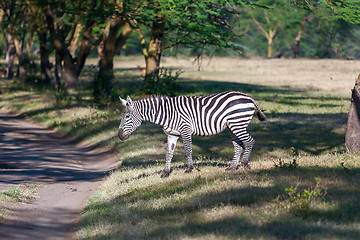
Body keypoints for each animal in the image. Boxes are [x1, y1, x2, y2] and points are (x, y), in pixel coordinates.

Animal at [117, 91, 264, 177]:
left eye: (127, 116)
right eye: (122, 116)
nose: (119, 136)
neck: (166, 113)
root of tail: (248, 97)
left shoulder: (185, 129)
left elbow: (188, 150)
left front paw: (189, 169)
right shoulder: (172, 134)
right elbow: (168, 154)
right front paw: (166, 172)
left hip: (238, 123)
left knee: (249, 141)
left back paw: (245, 164)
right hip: (232, 126)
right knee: (238, 145)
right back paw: (232, 167)